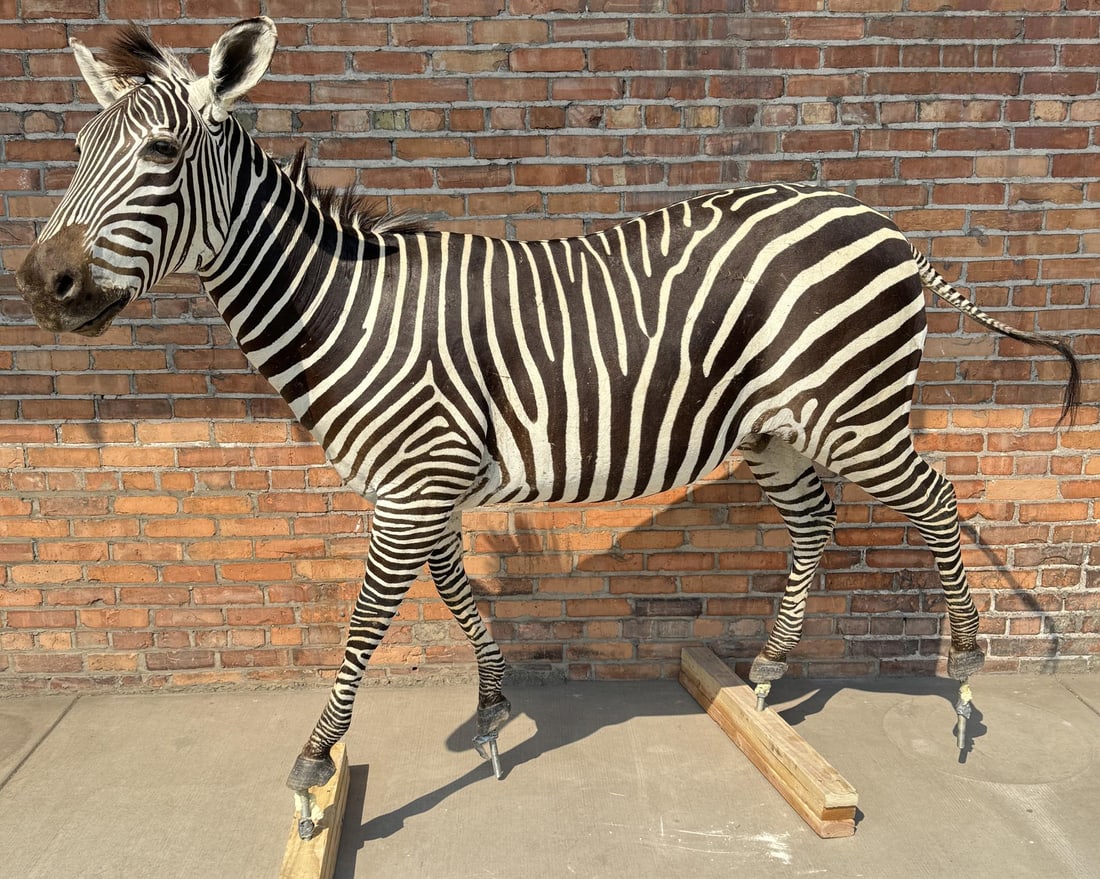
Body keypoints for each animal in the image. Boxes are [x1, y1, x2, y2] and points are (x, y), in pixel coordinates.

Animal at [15, 19, 1079, 839]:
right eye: (76, 152)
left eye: (160, 155)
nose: (39, 282)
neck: (347, 313)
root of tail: (880, 218)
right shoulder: (433, 484)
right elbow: (454, 590)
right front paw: (491, 713)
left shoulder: (412, 482)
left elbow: (366, 622)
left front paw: (315, 769)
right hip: (776, 429)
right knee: (815, 520)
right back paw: (772, 671)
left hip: (854, 410)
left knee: (937, 497)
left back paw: (969, 675)